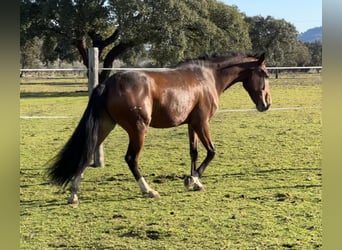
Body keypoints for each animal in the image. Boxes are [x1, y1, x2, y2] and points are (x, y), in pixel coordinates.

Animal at [46, 51, 272, 204]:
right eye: (265, 74)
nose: (266, 104)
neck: (208, 77)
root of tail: (107, 83)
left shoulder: (192, 124)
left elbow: (194, 152)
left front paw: (195, 182)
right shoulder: (202, 122)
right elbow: (211, 152)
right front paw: (191, 180)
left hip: (105, 126)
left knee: (86, 154)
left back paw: (73, 195)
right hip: (138, 129)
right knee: (131, 159)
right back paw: (149, 190)